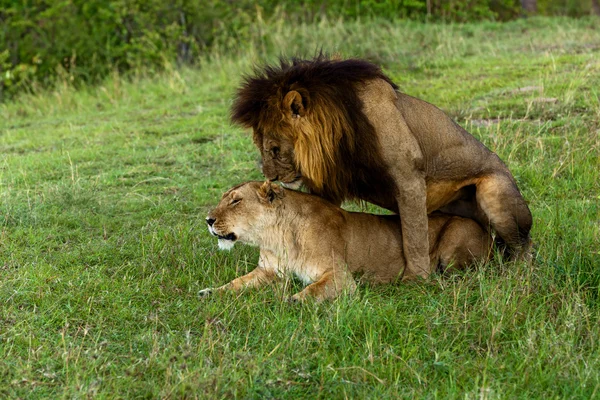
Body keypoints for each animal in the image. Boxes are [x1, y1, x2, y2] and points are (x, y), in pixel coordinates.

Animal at [202, 180, 492, 302]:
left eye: (236, 201)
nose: (208, 220)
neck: (276, 236)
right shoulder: (267, 271)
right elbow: (236, 283)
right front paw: (211, 292)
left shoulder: (341, 276)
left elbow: (314, 289)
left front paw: (292, 300)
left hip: (455, 240)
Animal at [232, 56, 532, 280]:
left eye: (274, 149)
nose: (270, 177)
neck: (338, 132)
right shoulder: (330, 185)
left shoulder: (409, 179)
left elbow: (414, 238)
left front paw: (416, 280)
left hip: (494, 194)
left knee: (524, 244)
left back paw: (518, 272)